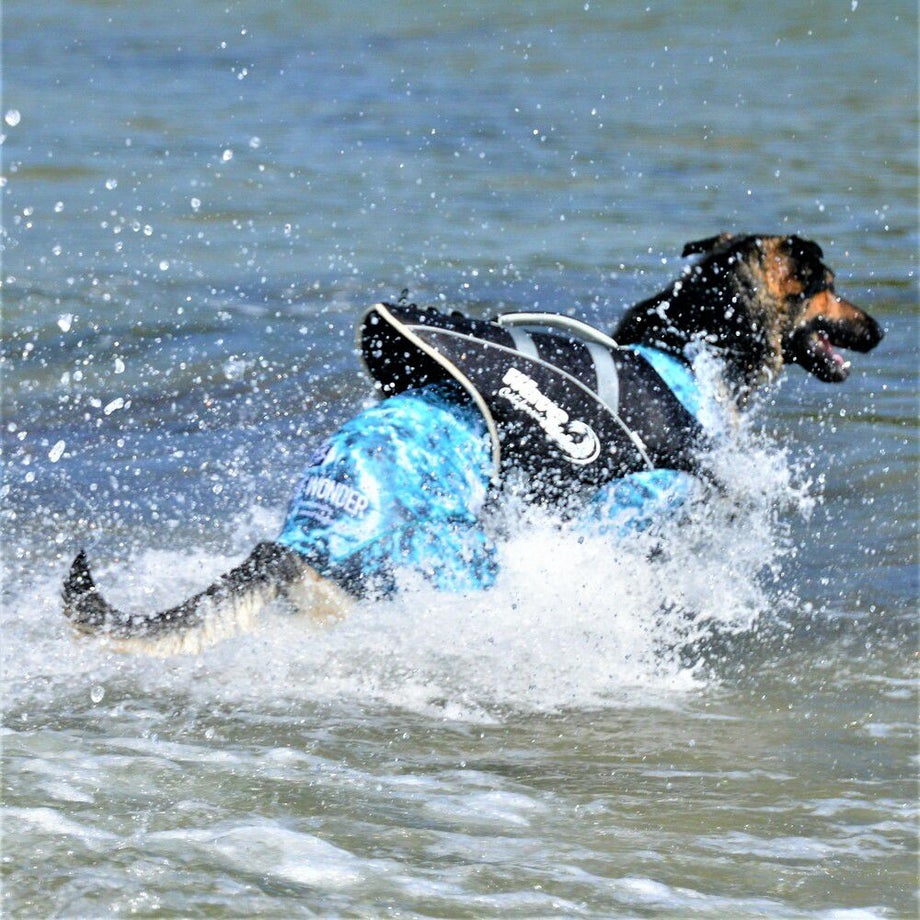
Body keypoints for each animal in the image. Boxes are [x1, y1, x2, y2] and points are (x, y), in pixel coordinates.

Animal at [62, 233, 883, 654]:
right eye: (829, 283)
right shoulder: (629, 501)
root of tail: (301, 540)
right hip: (463, 558)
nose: (879, 330)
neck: (687, 346)